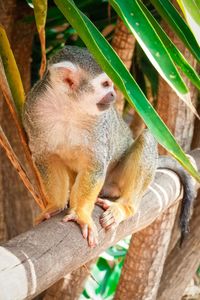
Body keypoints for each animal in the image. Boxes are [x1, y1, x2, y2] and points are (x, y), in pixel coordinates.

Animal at [22, 44, 196, 246]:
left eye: (111, 84)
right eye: (105, 84)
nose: (113, 94)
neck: (69, 107)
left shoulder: (99, 123)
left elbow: (95, 164)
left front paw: (81, 214)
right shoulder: (32, 109)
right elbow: (46, 158)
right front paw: (55, 205)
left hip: (117, 178)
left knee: (146, 138)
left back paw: (125, 207)